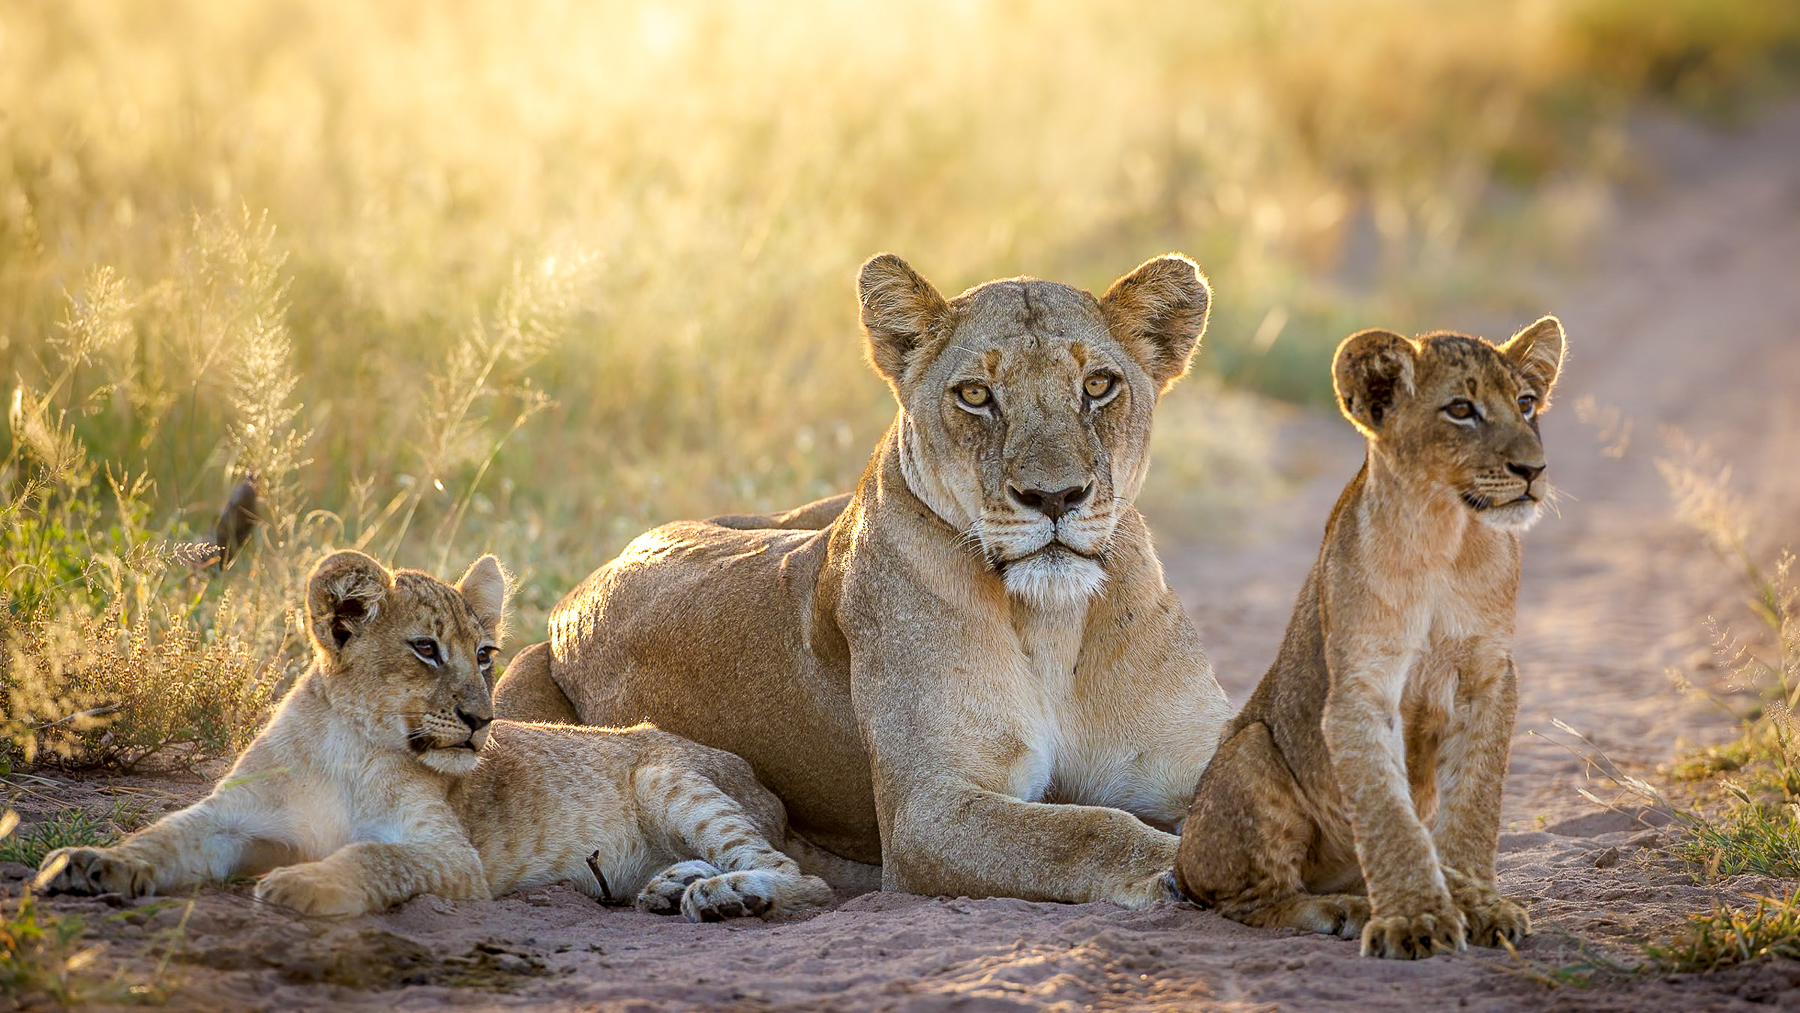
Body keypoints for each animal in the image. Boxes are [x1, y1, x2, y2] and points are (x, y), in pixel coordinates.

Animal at [39, 550, 835, 923]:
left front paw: (304, 883)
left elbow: (372, 855)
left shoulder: (452, 858)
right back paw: (674, 885)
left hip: (664, 775)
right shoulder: (229, 816)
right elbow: (162, 835)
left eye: (484, 655)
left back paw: (729, 896)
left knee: (803, 877)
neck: (346, 745)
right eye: (426, 649)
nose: (484, 720)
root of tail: (771, 791)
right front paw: (88, 865)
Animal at [493, 253, 1234, 906]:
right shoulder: (926, 811)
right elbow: (1086, 830)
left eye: (1099, 386)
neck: (1053, 620)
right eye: (975, 395)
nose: (1054, 497)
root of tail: (578, 592)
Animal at [1174, 318, 1566, 958]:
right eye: (1462, 409)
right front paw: (1414, 920)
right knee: (1250, 902)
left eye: (1527, 403)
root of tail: (1179, 864)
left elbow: (1473, 803)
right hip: (1249, 751)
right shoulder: (1360, 686)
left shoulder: (1489, 676)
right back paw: (1343, 908)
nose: (1534, 470)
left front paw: (1478, 905)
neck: (1446, 539)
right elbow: (1387, 813)